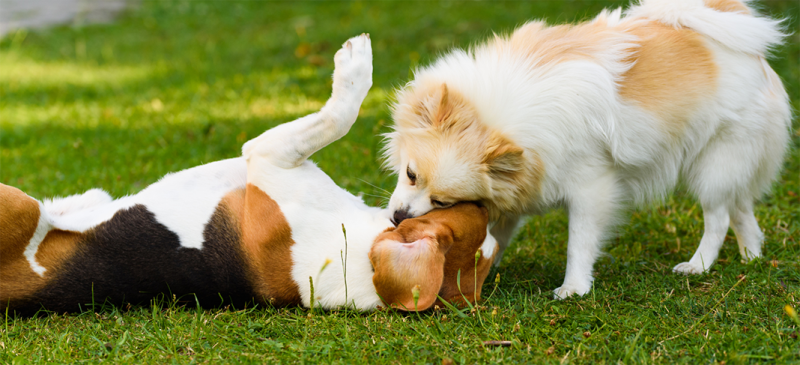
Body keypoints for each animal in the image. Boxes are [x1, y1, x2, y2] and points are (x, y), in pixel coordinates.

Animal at [0, 34, 496, 316]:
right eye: (476, 212)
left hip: (17, 203)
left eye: (453, 207)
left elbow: (340, 114)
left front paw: (354, 66)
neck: (355, 258)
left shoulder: (269, 154)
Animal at [384, 0, 792, 298]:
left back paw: (699, 265)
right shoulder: (518, 186)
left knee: (719, 216)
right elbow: (497, 232)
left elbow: (578, 243)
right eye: (410, 174)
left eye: (442, 202)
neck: (497, 118)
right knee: (741, 208)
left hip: (714, 165)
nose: (399, 218)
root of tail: (751, 52)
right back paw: (751, 256)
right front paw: (484, 262)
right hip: (732, 164)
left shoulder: (591, 188)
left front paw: (574, 288)